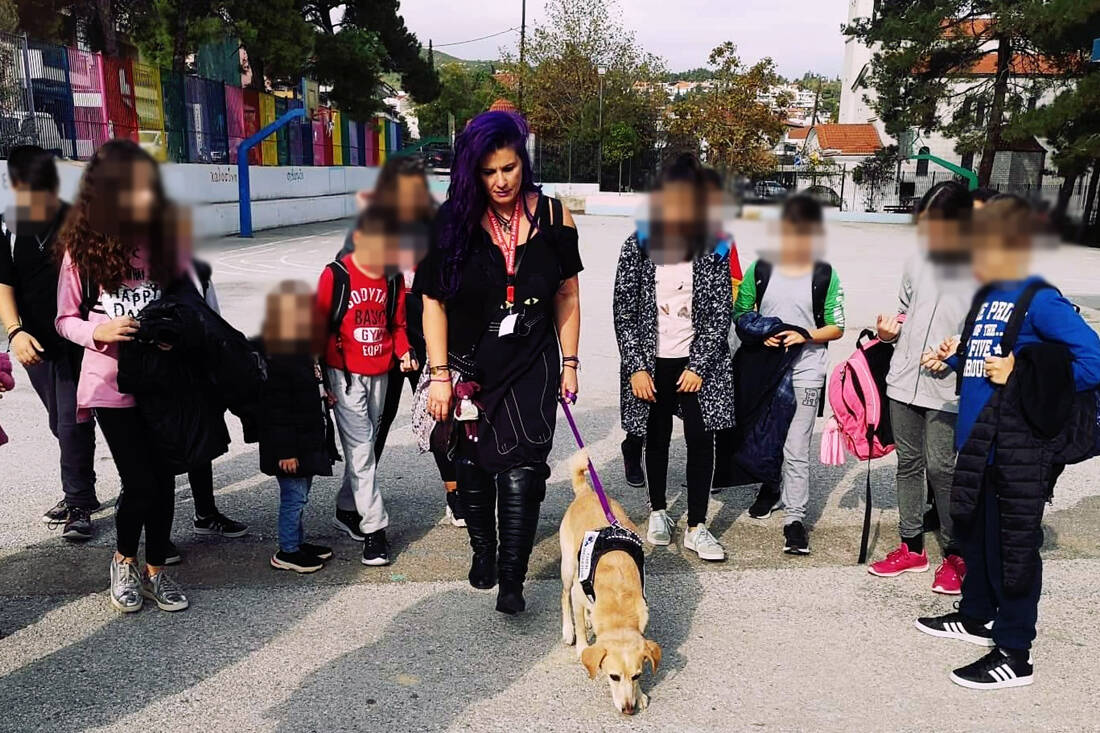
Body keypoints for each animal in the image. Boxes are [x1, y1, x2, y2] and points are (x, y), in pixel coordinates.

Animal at [559, 450, 661, 715]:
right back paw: (568, 629)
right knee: (564, 597)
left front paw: (641, 694)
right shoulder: (578, 595)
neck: (618, 601)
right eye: (613, 677)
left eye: (637, 676)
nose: (628, 709)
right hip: (569, 568)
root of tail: (586, 492)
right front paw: (582, 646)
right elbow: (582, 632)